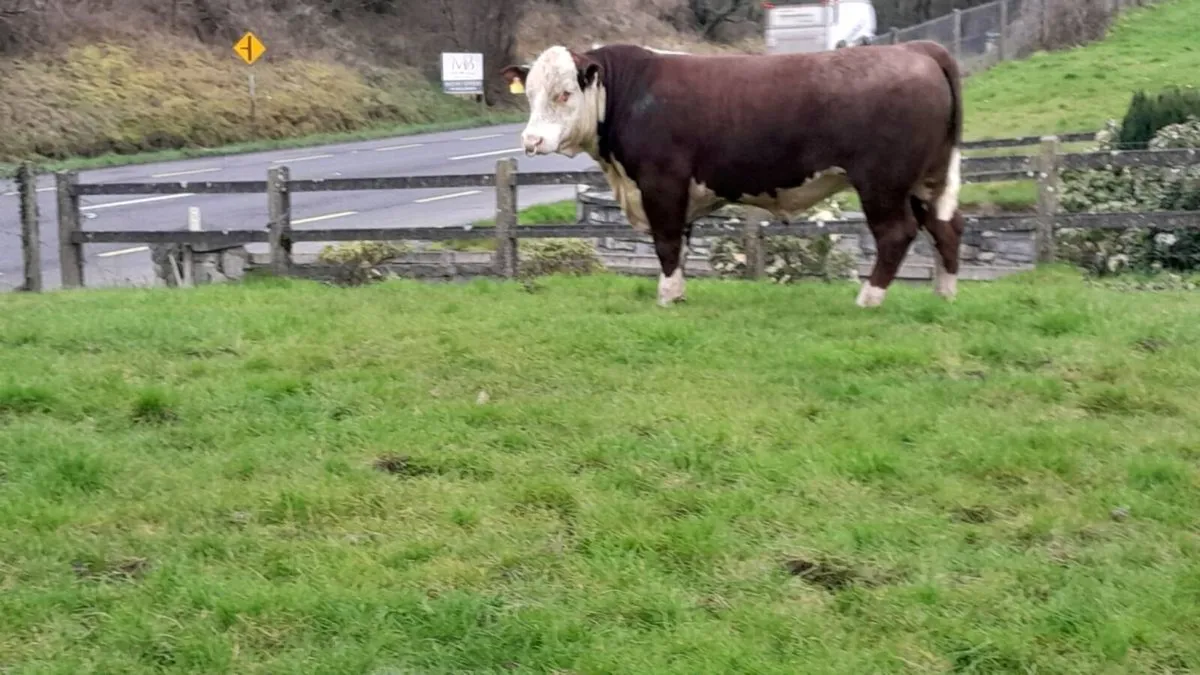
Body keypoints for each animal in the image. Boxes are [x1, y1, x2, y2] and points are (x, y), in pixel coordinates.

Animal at [500, 40, 965, 308]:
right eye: (531, 95)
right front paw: (678, 292)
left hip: (882, 183)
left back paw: (869, 298)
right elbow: (681, 244)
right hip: (926, 179)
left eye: (564, 93)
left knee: (897, 234)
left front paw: (666, 296)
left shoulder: (661, 180)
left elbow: (666, 241)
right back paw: (944, 294)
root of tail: (918, 49)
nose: (531, 140)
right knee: (945, 227)